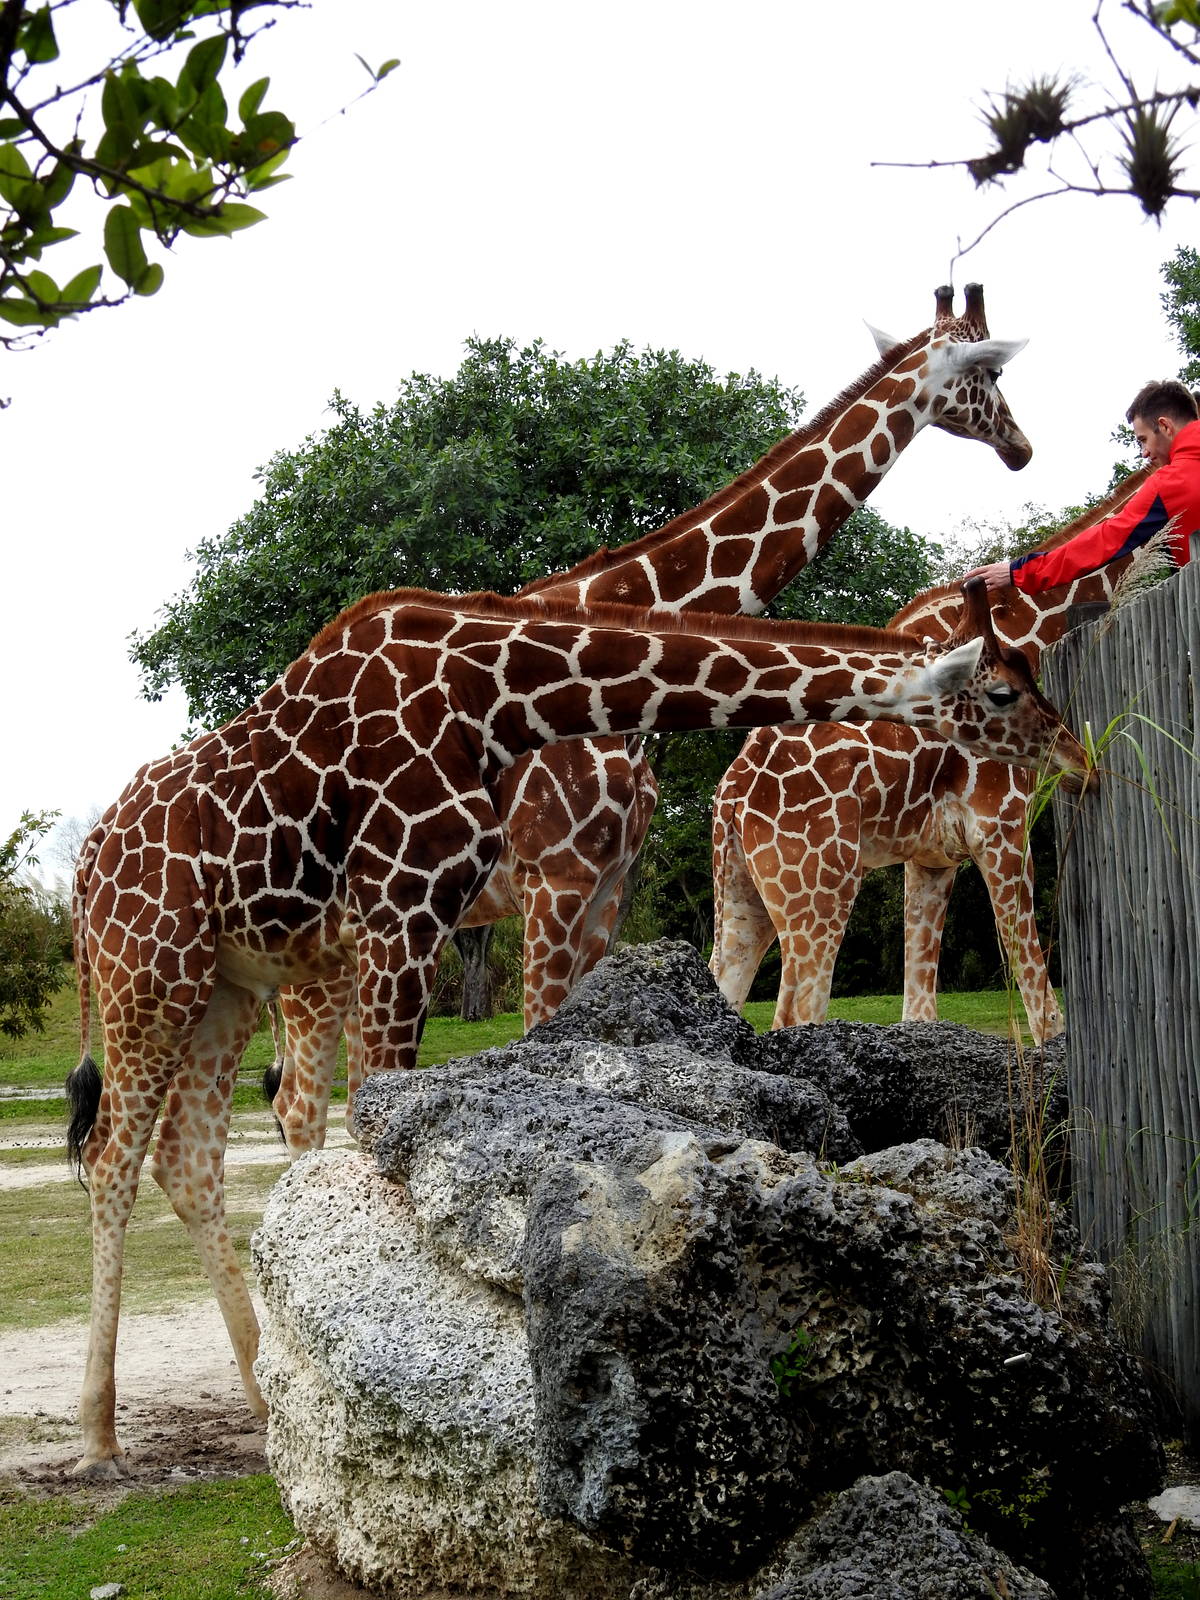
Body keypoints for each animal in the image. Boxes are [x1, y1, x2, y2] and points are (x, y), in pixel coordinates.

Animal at [67, 582, 1086, 1477]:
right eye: (1002, 689)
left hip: (229, 982)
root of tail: (85, 865)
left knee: (184, 1153)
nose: (1073, 755)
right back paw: (100, 1438)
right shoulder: (400, 912)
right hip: (150, 967)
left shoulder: (430, 918)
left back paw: (256, 1397)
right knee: (116, 1152)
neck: (490, 697)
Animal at [709, 470, 1148, 1039]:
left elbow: (919, 1008)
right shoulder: (1002, 827)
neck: (1029, 628)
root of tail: (734, 796)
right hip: (821, 885)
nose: (1079, 766)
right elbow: (1044, 1007)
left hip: (743, 894)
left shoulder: (931, 857)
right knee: (795, 1012)